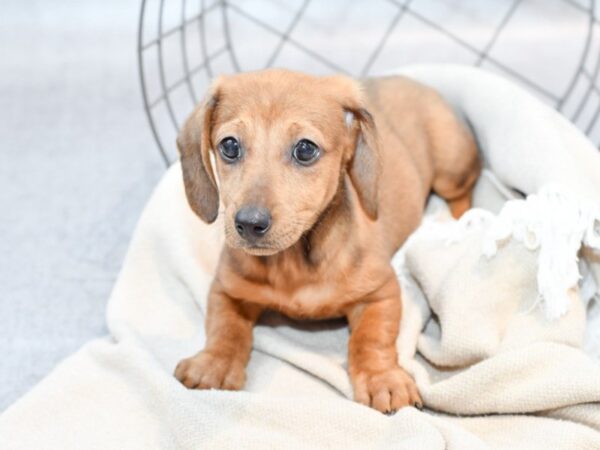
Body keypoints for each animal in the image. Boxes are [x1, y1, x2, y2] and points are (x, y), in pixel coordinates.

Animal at [172, 68, 478, 414]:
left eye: (305, 149)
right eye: (229, 146)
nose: (249, 224)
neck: (294, 264)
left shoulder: (380, 293)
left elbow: (371, 340)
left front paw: (382, 379)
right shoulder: (228, 291)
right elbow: (225, 328)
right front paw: (215, 363)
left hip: (452, 169)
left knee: (463, 193)